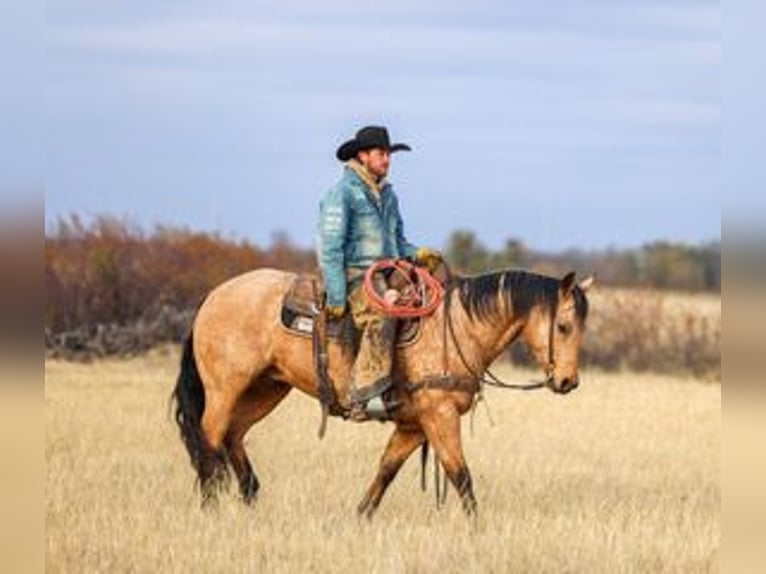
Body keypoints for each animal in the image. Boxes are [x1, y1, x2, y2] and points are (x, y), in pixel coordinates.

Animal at [172, 266, 593, 517]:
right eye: (564, 327)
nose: (567, 382)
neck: (456, 329)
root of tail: (212, 297)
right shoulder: (439, 416)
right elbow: (460, 474)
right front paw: (478, 530)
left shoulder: (413, 425)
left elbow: (387, 470)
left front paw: (360, 517)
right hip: (226, 387)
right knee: (209, 437)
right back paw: (211, 505)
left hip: (266, 388)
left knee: (233, 436)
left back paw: (250, 499)